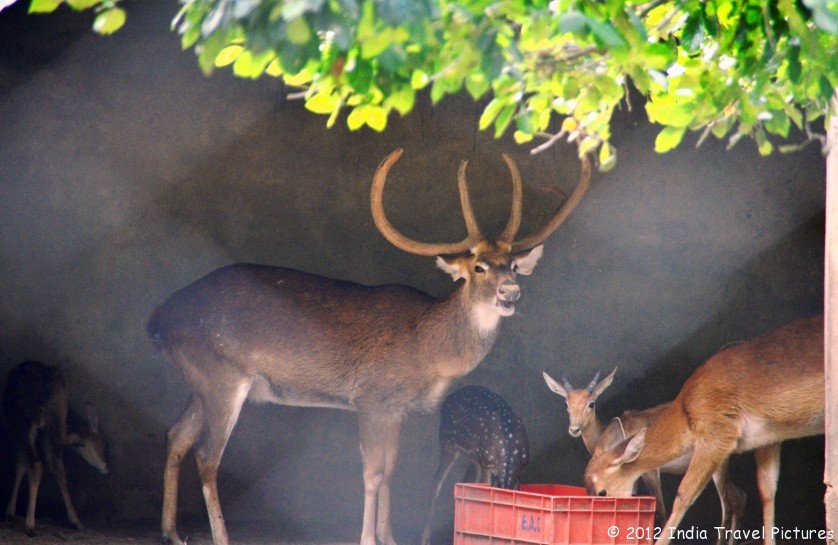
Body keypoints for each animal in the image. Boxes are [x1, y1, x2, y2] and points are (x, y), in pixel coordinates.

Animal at [1, 360, 110, 532]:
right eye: (105, 442)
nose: (107, 468)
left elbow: (21, 465)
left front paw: (10, 512)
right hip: (54, 418)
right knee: (57, 467)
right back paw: (76, 522)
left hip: (21, 420)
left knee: (36, 463)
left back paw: (30, 525)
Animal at [420, 382, 532, 544]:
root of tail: (449, 397)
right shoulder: (487, 466)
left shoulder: (519, 473)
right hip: (448, 441)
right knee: (436, 481)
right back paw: (425, 538)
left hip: (473, 457)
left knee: (466, 481)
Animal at [584, 314, 828, 545]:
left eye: (602, 493)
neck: (685, 409)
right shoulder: (768, 438)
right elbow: (767, 489)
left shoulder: (717, 435)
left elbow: (682, 495)